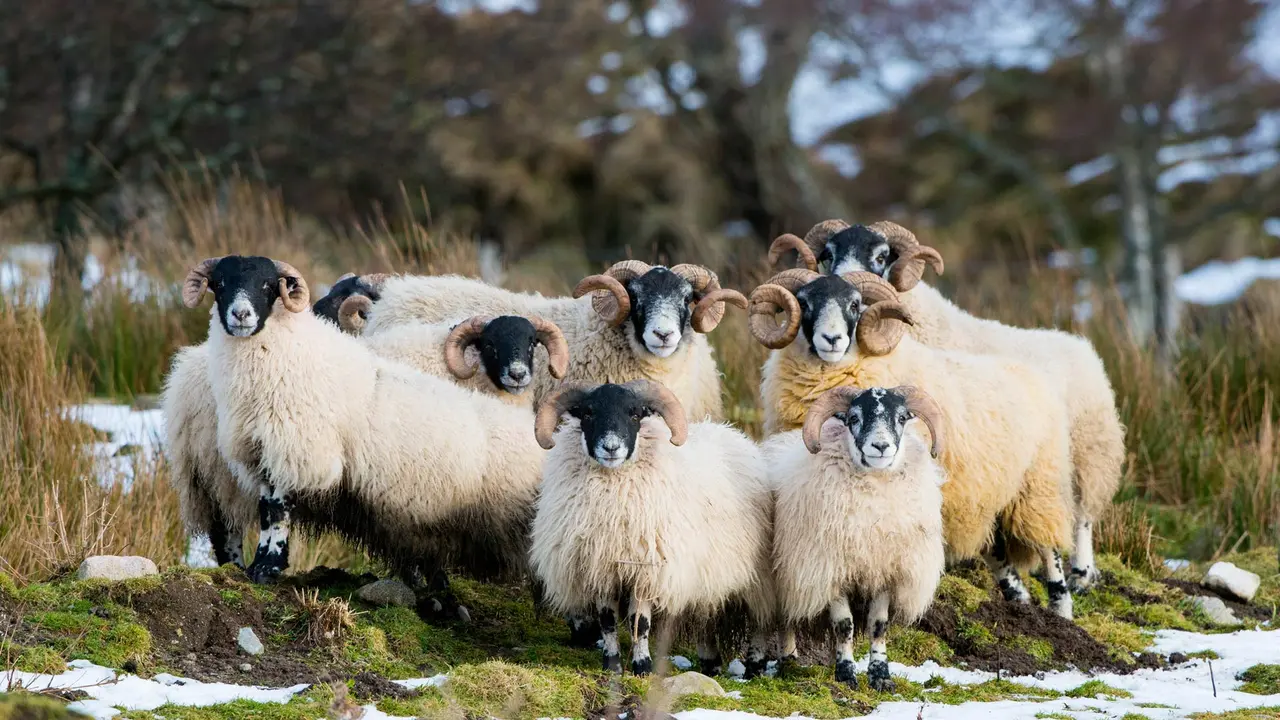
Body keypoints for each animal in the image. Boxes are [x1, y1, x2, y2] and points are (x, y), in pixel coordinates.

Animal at [176, 255, 549, 619]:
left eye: (268, 284)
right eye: (219, 283)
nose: (241, 315)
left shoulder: (290, 451)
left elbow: (276, 511)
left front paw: (267, 567)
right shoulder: (277, 450)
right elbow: (274, 511)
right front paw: (264, 568)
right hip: (213, 476)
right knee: (226, 531)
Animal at [528, 379, 777, 677]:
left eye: (635, 414)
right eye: (587, 413)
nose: (611, 448)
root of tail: (732, 433)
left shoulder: (646, 570)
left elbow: (640, 621)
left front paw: (643, 667)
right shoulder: (601, 567)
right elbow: (607, 621)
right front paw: (612, 665)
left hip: (758, 575)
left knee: (761, 619)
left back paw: (755, 667)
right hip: (706, 573)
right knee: (706, 614)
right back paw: (710, 663)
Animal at [748, 269, 1077, 620]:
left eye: (855, 304)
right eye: (805, 303)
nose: (832, 339)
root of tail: (1032, 373)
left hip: (1038, 487)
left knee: (1050, 550)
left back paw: (1061, 612)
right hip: (994, 497)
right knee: (1001, 553)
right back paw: (1020, 603)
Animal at [766, 384, 947, 690]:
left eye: (901, 418)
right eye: (853, 418)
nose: (881, 447)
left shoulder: (885, 570)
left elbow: (878, 625)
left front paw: (881, 676)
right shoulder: (831, 570)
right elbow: (844, 626)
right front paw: (846, 674)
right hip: (785, 578)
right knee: (785, 620)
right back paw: (788, 660)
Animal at [770, 221, 1125, 591]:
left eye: (881, 256)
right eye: (828, 253)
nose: (832, 336)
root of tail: (1078, 344)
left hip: (1085, 456)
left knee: (1083, 515)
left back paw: (1081, 572)